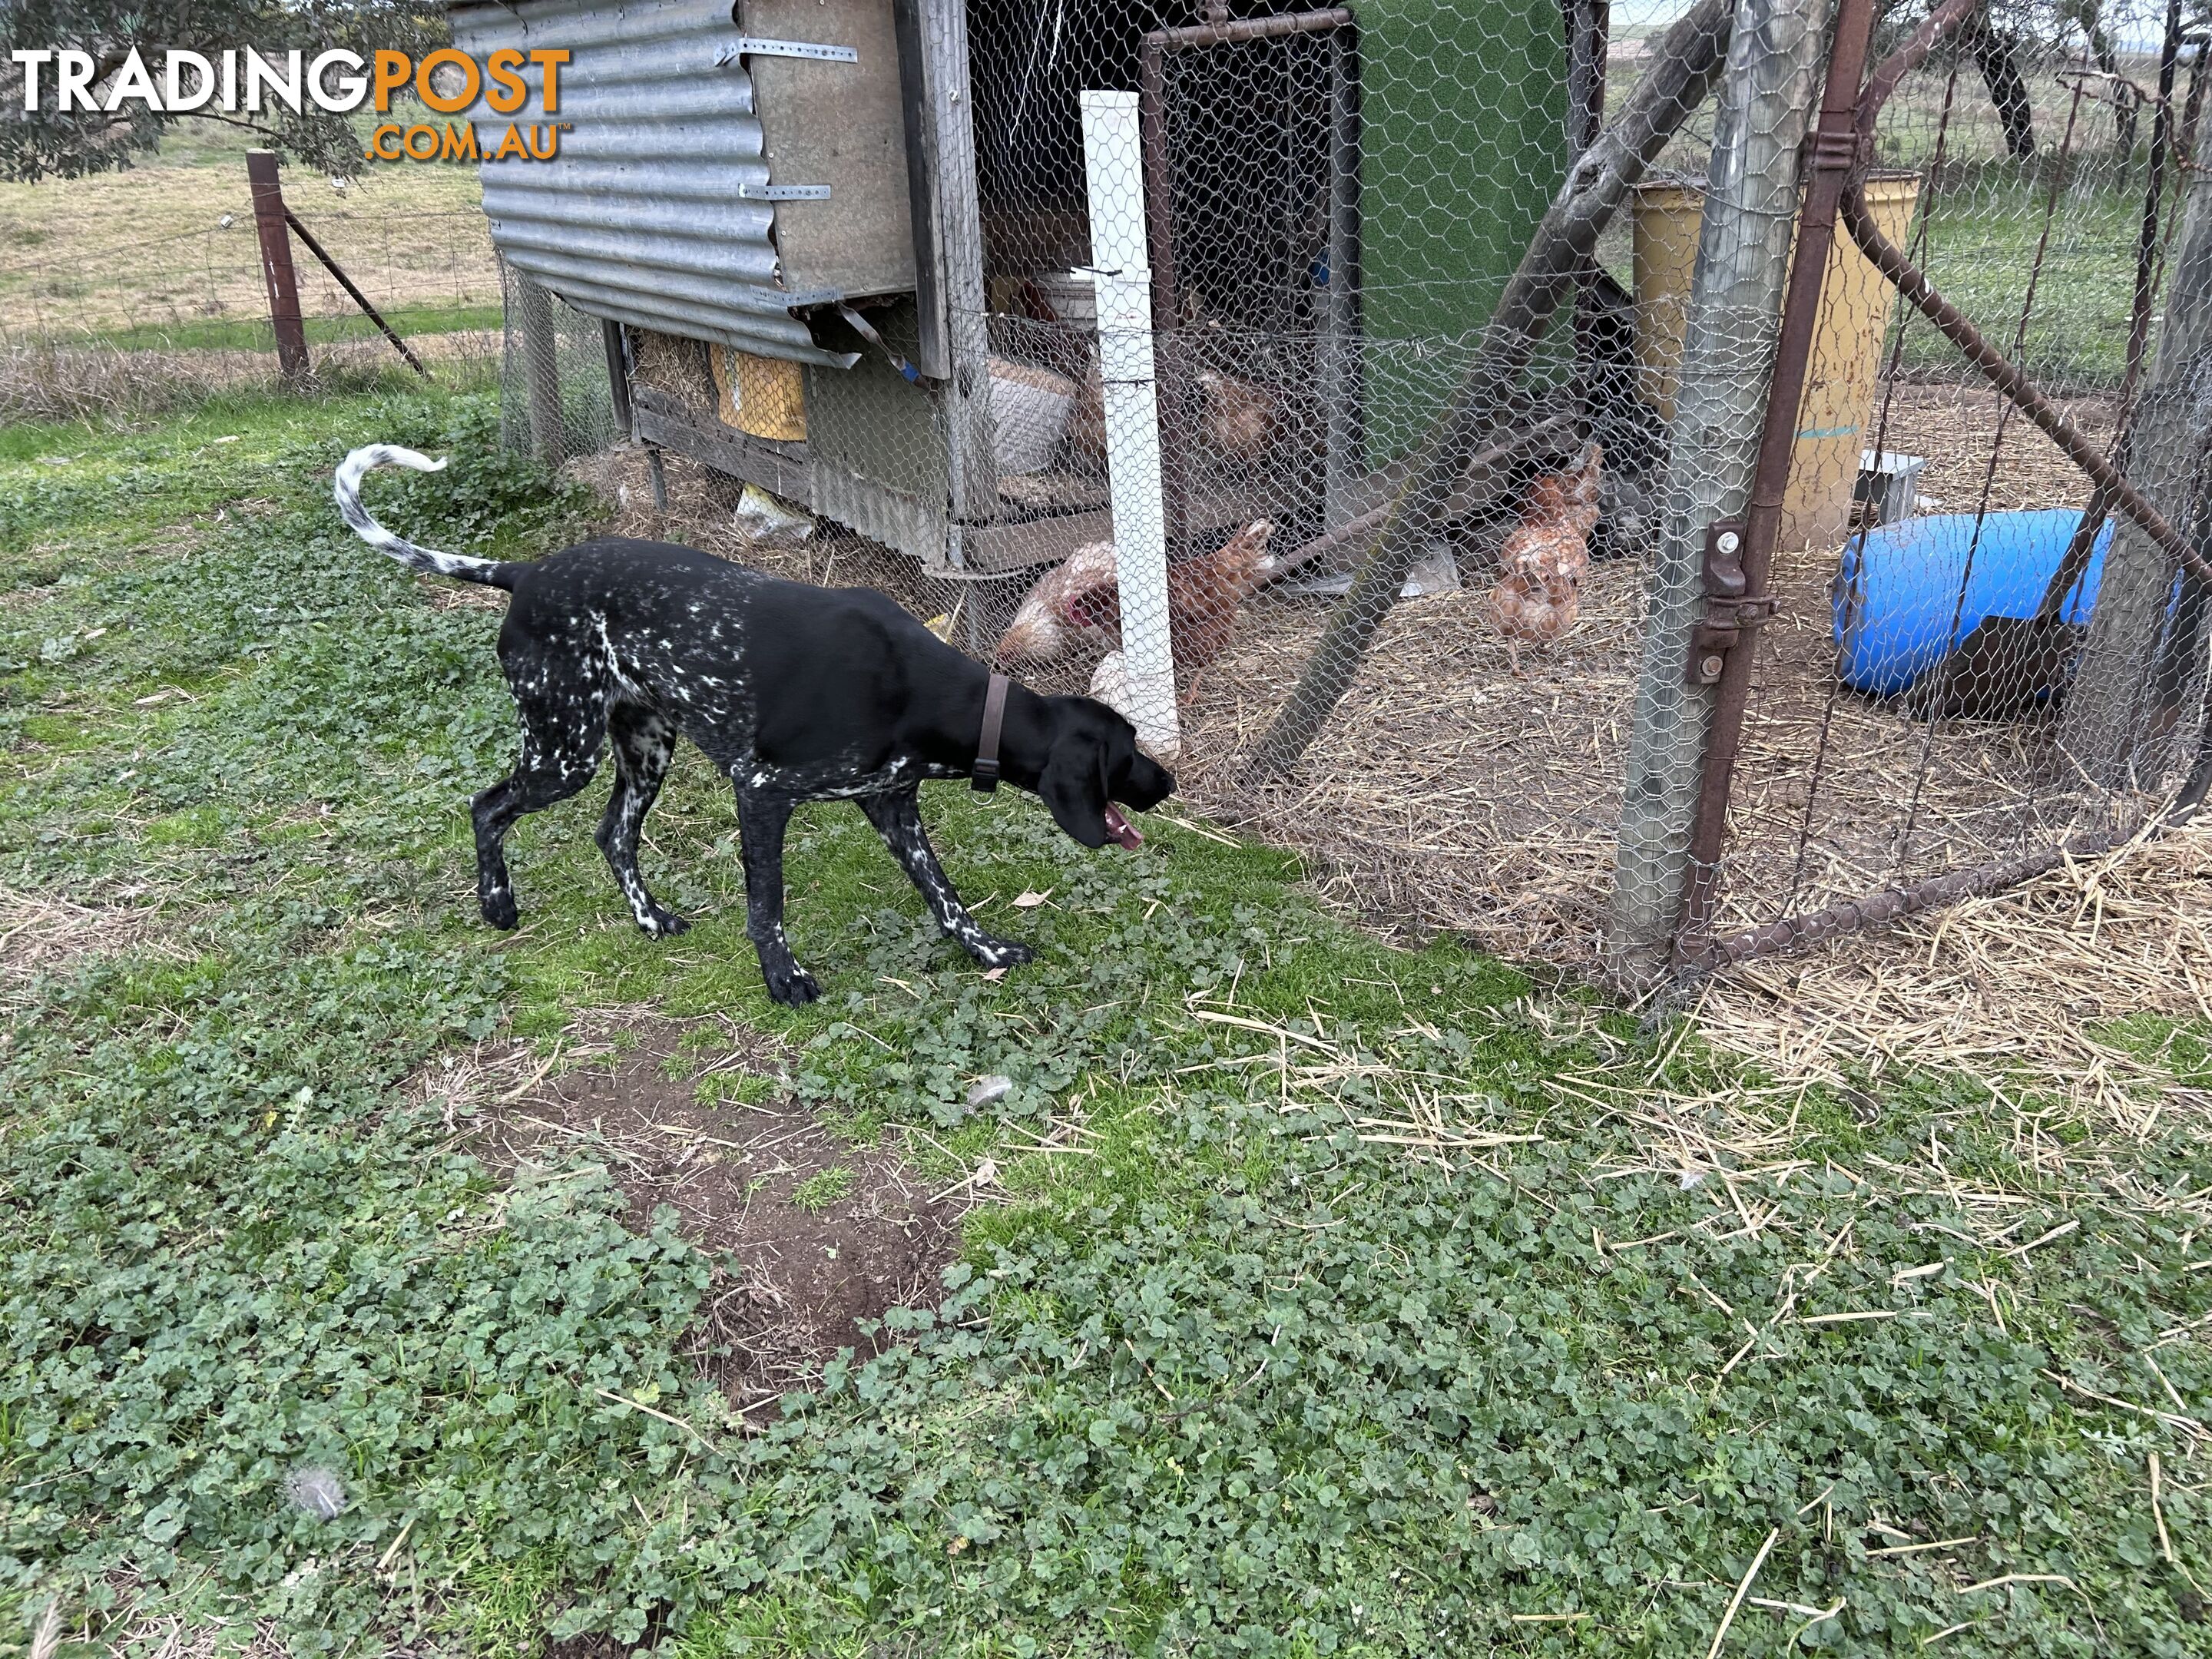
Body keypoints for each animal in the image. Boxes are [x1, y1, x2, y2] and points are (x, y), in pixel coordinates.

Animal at [332, 444, 1177, 999]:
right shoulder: (761, 790)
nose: (1168, 782)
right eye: (1130, 750)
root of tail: (527, 573)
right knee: (488, 807)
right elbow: (767, 905)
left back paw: (649, 919)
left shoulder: (892, 805)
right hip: (563, 750)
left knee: (612, 835)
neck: (921, 690)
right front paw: (783, 976)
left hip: (645, 749)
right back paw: (497, 905)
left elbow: (945, 896)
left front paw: (986, 948)